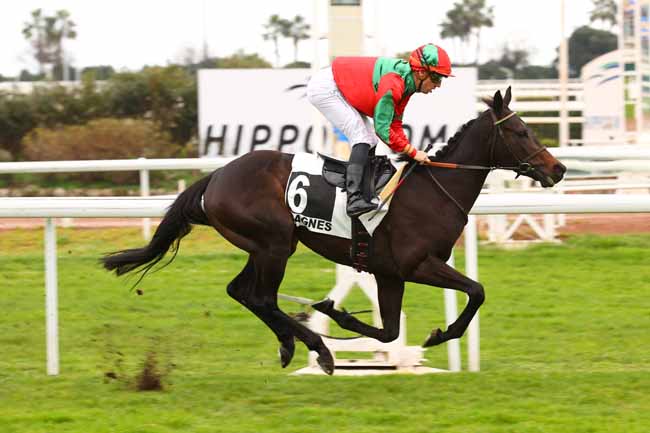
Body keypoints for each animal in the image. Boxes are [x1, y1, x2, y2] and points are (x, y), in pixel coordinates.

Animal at [101, 86, 560, 372]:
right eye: (520, 131)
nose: (558, 169)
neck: (433, 189)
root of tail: (215, 177)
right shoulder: (416, 264)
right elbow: (476, 291)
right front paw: (438, 334)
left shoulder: (389, 273)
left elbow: (390, 330)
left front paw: (342, 315)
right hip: (275, 244)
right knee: (262, 297)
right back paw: (317, 348)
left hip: (261, 246)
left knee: (242, 292)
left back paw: (291, 342)